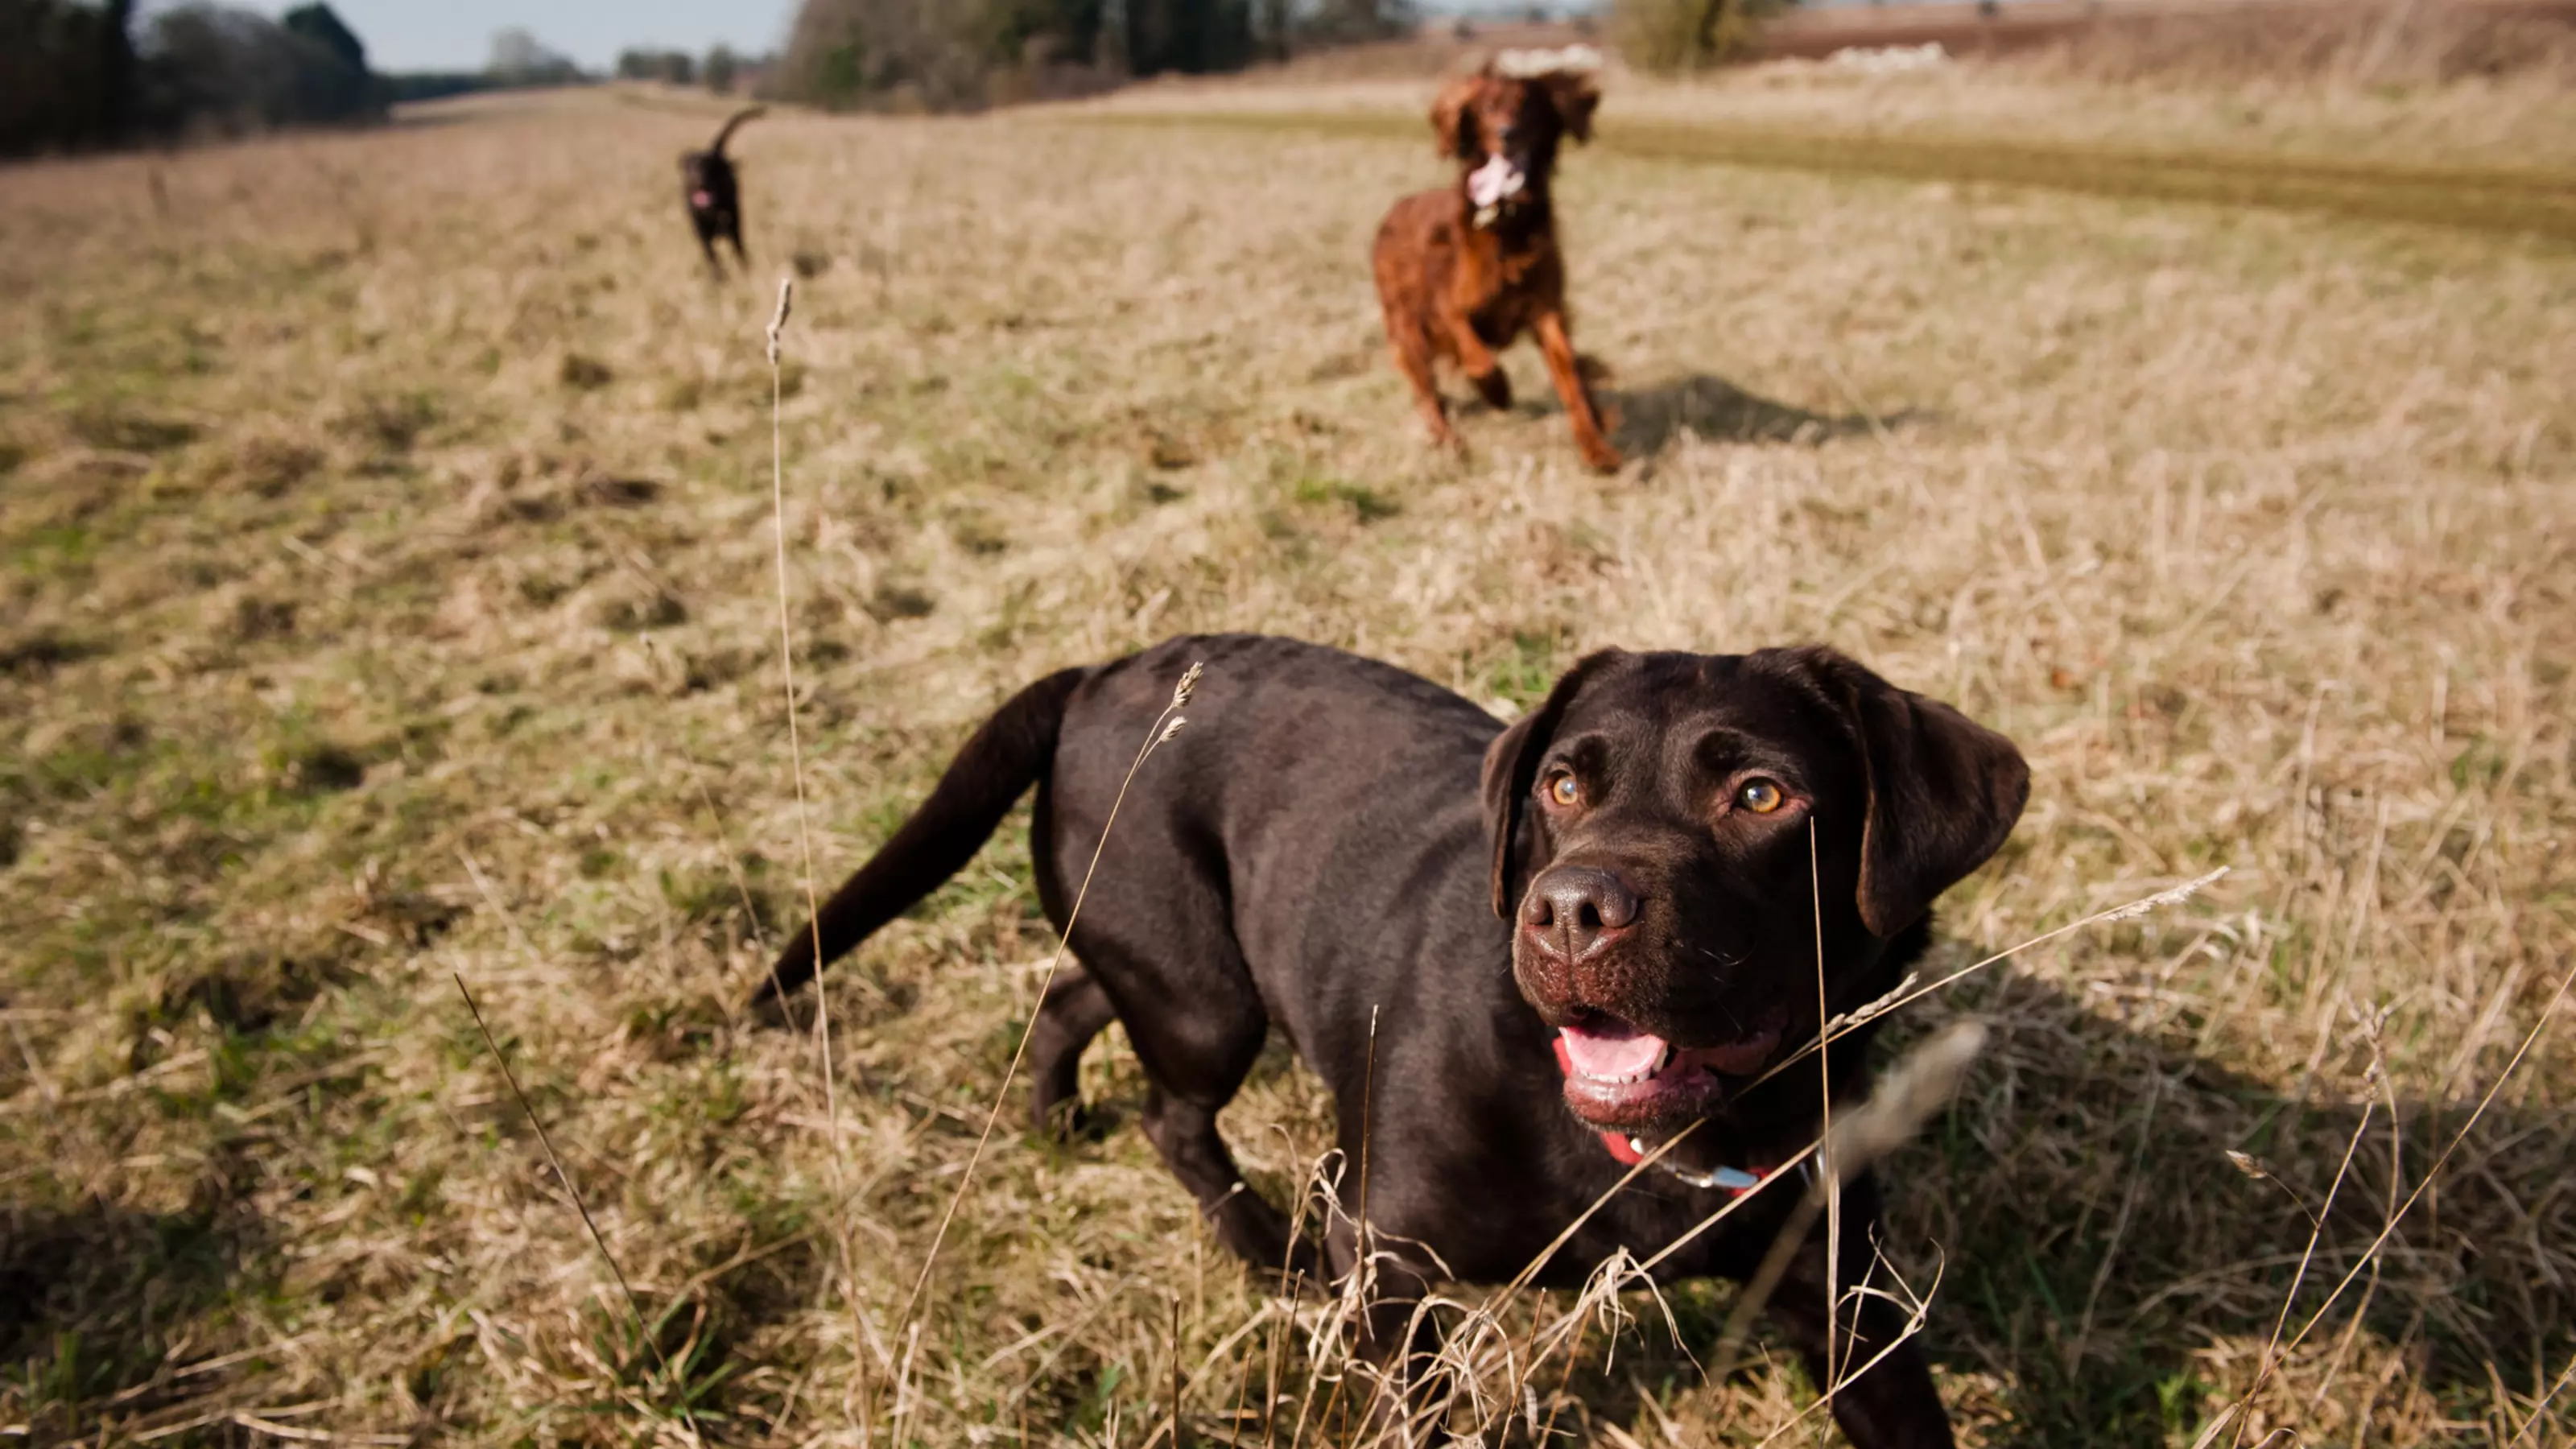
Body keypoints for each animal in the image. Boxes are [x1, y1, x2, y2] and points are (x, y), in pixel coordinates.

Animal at [762, 631, 2029, 1443]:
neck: (1659, 1150)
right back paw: (1264, 1251)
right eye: (1563, 787)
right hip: (1205, 1000)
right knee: (1172, 1112)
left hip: (1171, 972)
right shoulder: (1385, 1266)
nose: (1570, 911)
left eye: (1763, 797)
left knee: (1076, 998)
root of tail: (1097, 674)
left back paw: (1055, 1113)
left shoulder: (1852, 1308)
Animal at [1381, 49, 1617, 469]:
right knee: (1426, 391)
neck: (1507, 222)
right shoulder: (1447, 306)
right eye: (1488, 108)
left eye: (1529, 107)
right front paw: (1499, 391)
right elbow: (1478, 356)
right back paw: (1449, 441)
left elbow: (1571, 377)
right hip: (1407, 326)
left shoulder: (1546, 311)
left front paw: (1595, 445)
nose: (1508, 133)